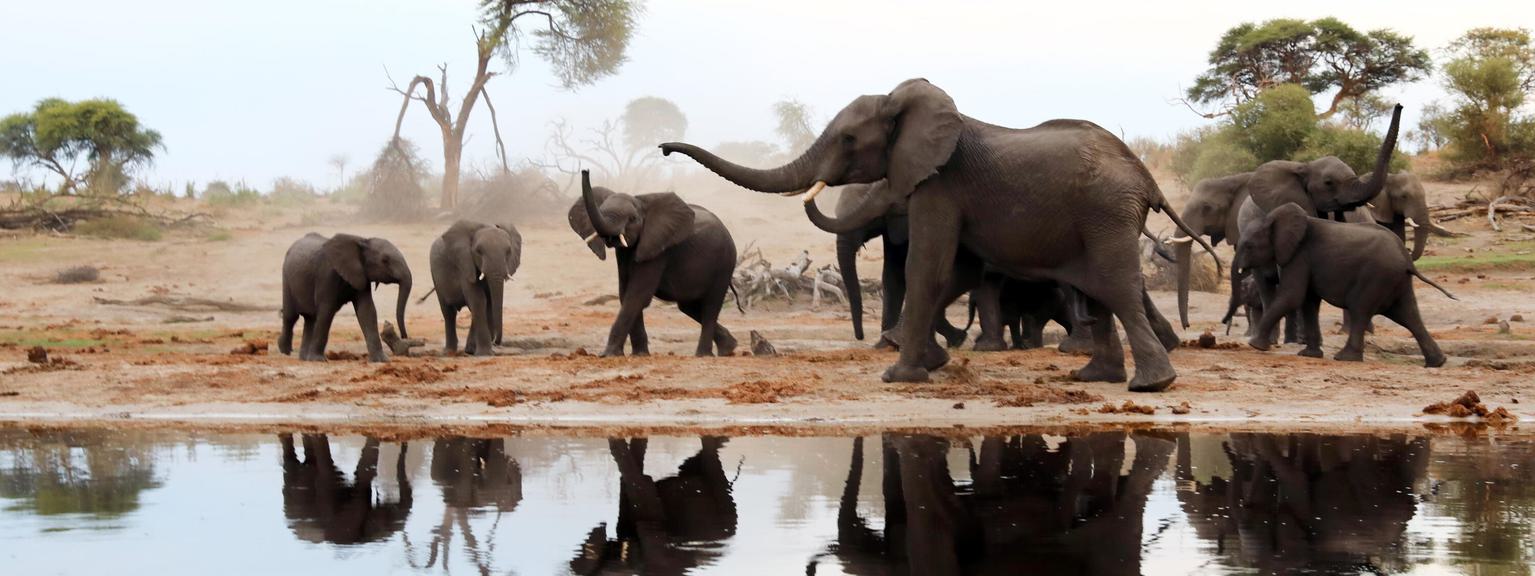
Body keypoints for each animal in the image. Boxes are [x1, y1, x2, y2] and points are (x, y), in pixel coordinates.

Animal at [279, 233, 412, 363]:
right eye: (385, 260)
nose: (404, 336)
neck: (362, 240)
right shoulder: (326, 275)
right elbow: (326, 311)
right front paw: (318, 360)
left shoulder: (361, 275)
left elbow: (367, 311)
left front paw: (381, 360)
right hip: (286, 279)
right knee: (291, 317)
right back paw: (285, 351)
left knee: (310, 319)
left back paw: (304, 358)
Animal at [429, 220, 522, 356]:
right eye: (478, 251)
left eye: (509, 251)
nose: (496, 342)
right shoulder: (464, 265)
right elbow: (479, 300)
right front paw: (485, 354)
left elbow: (488, 302)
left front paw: (478, 352)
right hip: (435, 275)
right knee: (448, 312)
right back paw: (449, 352)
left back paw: (469, 350)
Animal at [570, 171, 740, 357]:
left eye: (632, 219)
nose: (585, 171)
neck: (641, 202)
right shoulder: (625, 253)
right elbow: (625, 293)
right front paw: (639, 354)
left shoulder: (658, 249)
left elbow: (637, 294)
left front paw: (609, 355)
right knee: (688, 306)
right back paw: (729, 347)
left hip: (725, 262)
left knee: (710, 306)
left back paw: (704, 355)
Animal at [662, 79, 1217, 390]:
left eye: (848, 139)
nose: (665, 149)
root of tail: (1145, 176)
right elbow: (954, 273)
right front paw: (933, 359)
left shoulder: (939, 184)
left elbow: (927, 268)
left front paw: (898, 376)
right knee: (1100, 292)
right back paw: (1096, 377)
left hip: (1106, 214)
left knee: (1115, 286)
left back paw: (1152, 385)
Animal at [1236, 203, 1453, 367]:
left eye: (1249, 245)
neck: (1273, 218)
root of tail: (1407, 260)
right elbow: (1308, 302)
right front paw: (1308, 355)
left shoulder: (1298, 255)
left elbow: (1293, 296)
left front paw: (1255, 345)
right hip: (1395, 279)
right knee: (1407, 315)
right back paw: (1438, 362)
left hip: (1376, 276)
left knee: (1361, 309)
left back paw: (1345, 358)